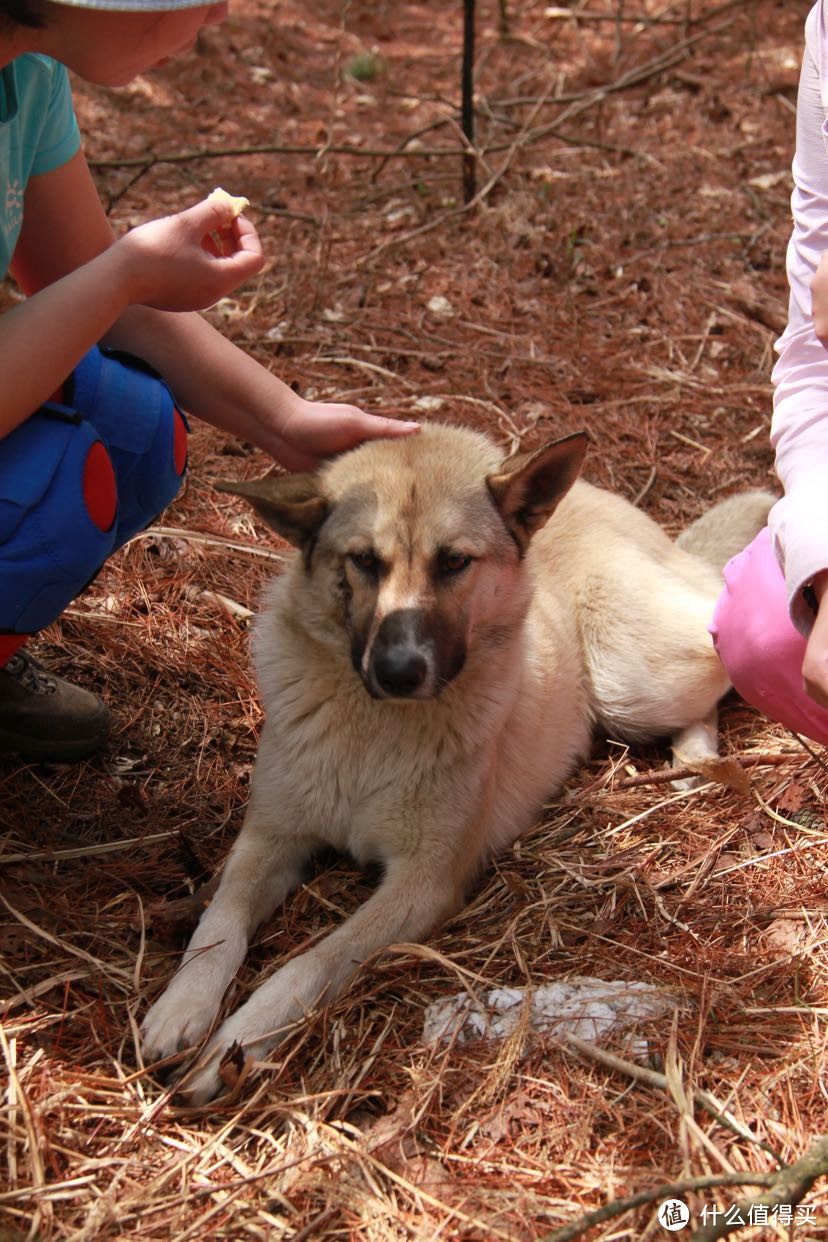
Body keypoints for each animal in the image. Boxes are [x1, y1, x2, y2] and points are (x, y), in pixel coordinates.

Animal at [140, 422, 769, 1102]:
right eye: (365, 561)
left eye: (454, 562)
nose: (398, 671)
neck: (374, 731)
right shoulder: (269, 837)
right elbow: (220, 921)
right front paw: (182, 1009)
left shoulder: (423, 882)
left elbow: (311, 963)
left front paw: (236, 1041)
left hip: (631, 677)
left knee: (717, 656)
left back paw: (700, 754)